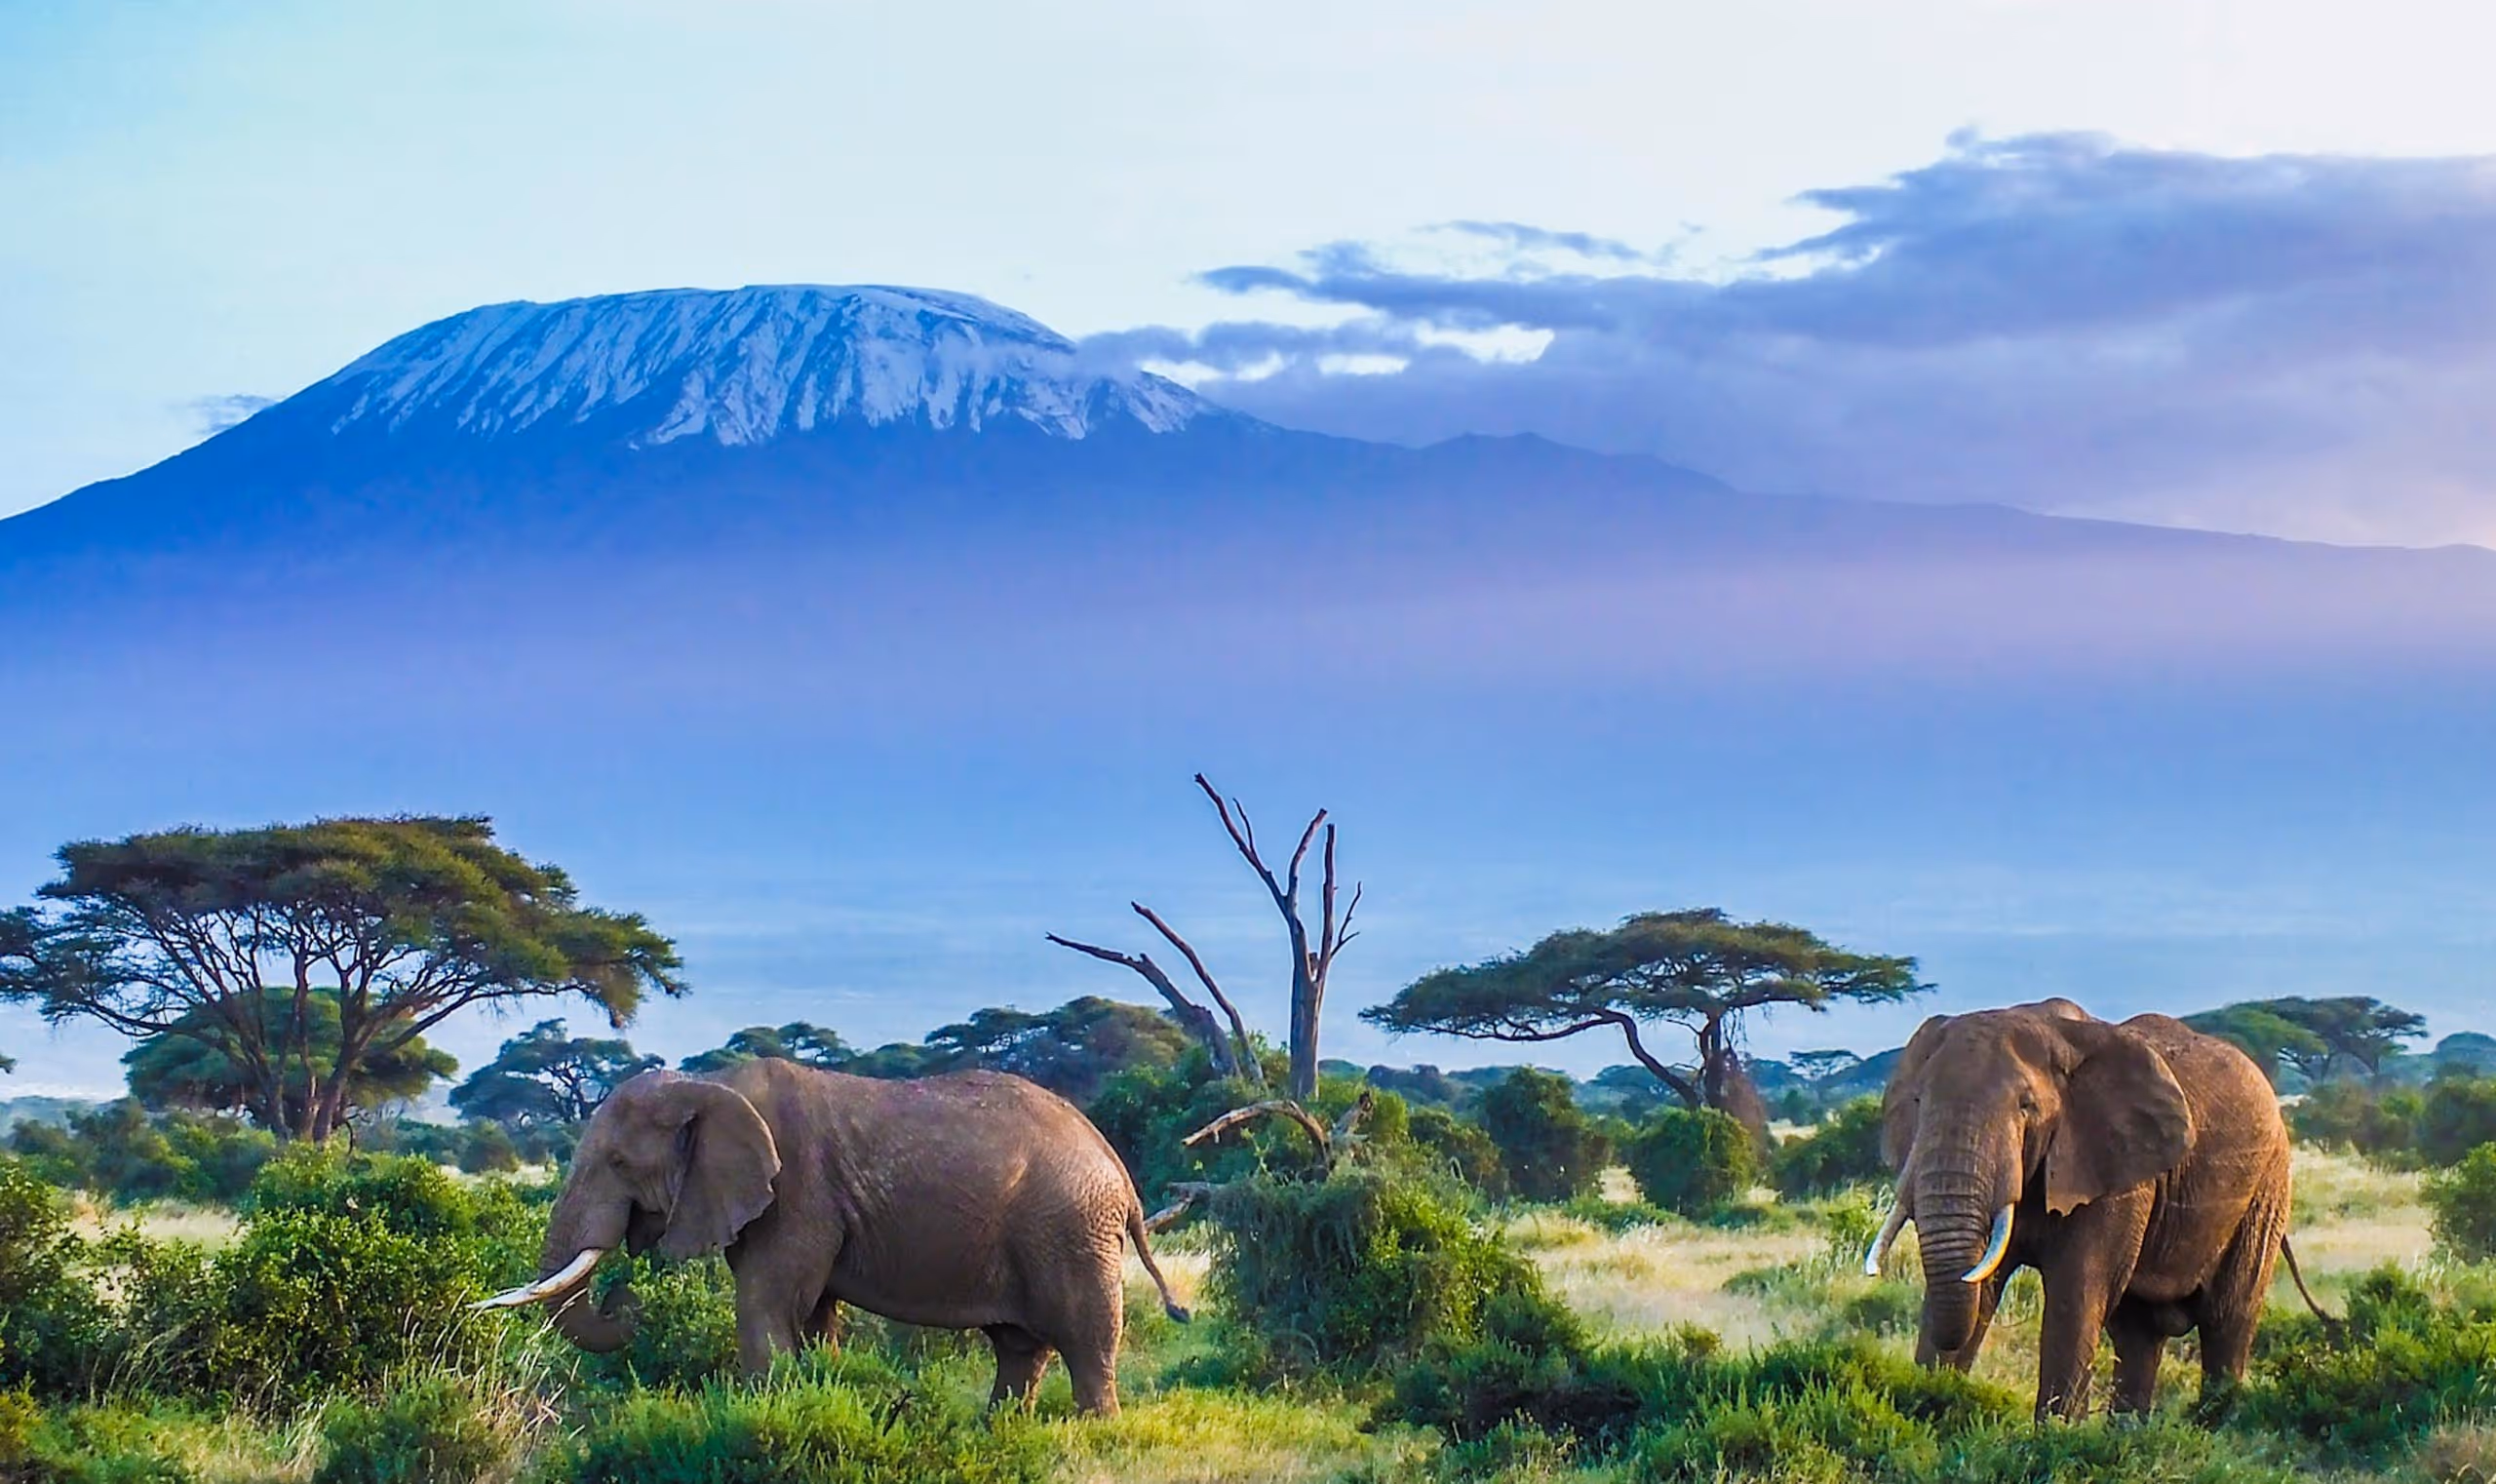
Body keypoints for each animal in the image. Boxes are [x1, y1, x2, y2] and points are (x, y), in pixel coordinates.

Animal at [473, 1059, 1189, 1415]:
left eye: (619, 1163)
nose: (626, 1299)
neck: (710, 1086)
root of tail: (1119, 1170)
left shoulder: (797, 1190)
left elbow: (766, 1304)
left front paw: (765, 1413)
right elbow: (812, 1313)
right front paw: (818, 1391)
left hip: (1069, 1228)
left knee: (1085, 1340)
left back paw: (1094, 1432)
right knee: (1018, 1347)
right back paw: (1001, 1431)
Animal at [1866, 998, 2326, 1419]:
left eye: (2026, 1106)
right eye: (1919, 1102)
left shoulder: (2115, 1170)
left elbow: (2077, 1290)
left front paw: (2054, 1437)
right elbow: (1983, 1281)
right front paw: (1929, 1411)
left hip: (2266, 1189)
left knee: (2226, 1320)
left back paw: (2212, 1427)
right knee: (2139, 1332)